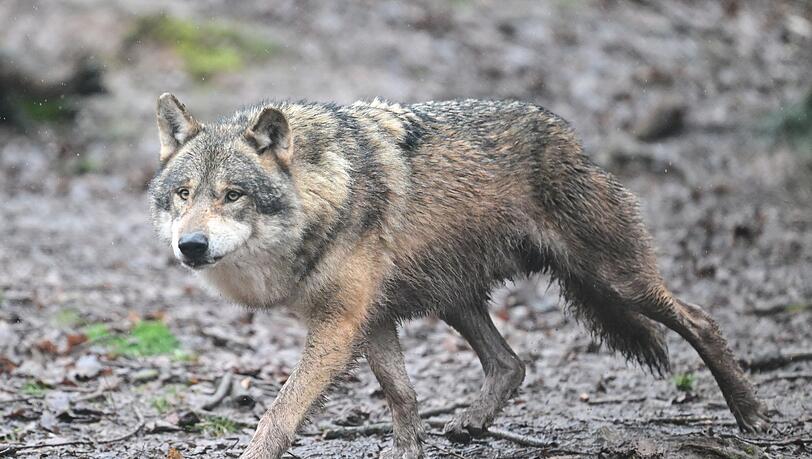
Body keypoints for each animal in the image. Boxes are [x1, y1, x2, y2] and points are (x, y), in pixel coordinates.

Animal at [148, 93, 769, 458]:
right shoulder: (370, 320)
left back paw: (751, 414)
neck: (326, 193)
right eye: (184, 194)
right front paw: (408, 453)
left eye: (233, 195)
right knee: (512, 363)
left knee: (701, 319)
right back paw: (470, 424)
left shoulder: (339, 325)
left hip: (616, 279)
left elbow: (279, 414)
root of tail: (567, 135)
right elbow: (402, 396)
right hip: (454, 299)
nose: (191, 245)